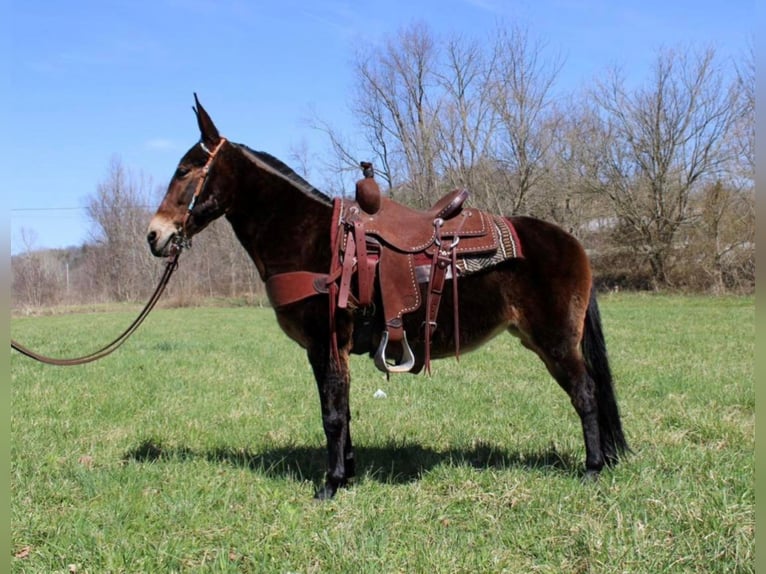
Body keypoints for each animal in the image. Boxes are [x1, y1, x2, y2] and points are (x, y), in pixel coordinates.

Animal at [146, 94, 632, 500]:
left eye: (185, 170)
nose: (155, 235)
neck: (308, 238)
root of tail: (572, 241)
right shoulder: (329, 350)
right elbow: (343, 410)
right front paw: (348, 473)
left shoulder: (325, 344)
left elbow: (332, 414)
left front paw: (331, 484)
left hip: (556, 342)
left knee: (586, 393)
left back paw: (592, 468)